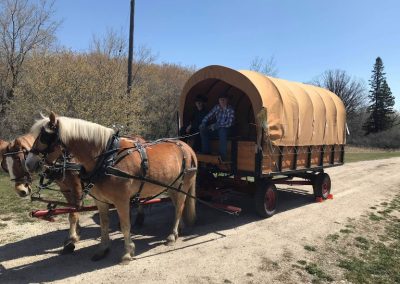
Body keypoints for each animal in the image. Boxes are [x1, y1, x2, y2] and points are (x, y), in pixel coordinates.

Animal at [25, 112, 198, 262]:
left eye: (44, 136)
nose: (29, 163)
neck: (107, 158)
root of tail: (186, 147)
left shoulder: (122, 201)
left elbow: (126, 226)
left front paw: (128, 252)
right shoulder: (101, 201)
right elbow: (104, 225)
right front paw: (103, 249)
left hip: (183, 185)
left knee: (179, 207)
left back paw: (172, 235)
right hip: (172, 186)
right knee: (178, 206)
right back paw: (179, 229)